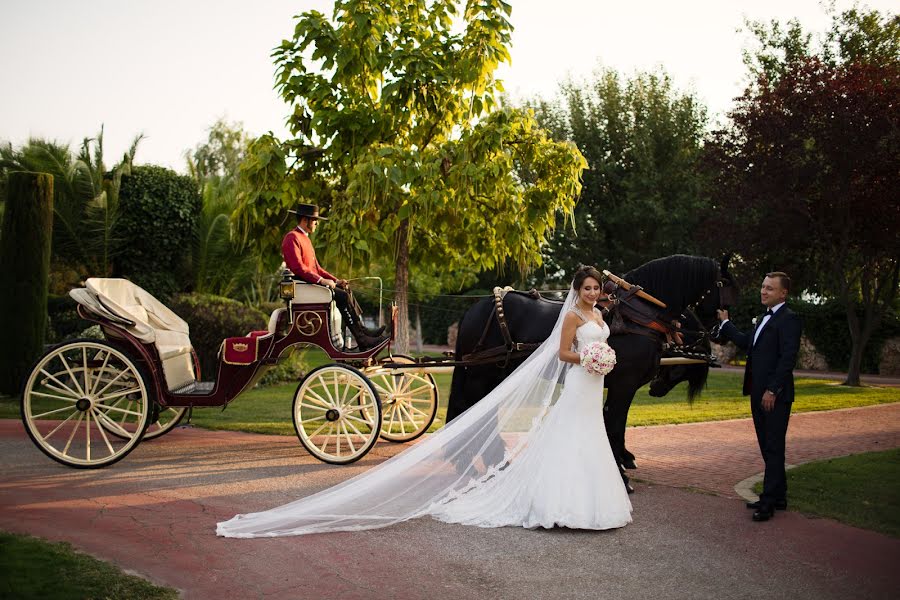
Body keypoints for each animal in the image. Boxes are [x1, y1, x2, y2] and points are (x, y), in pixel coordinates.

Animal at [446, 255, 736, 486]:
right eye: (726, 286)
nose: (718, 330)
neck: (638, 316)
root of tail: (476, 308)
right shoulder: (624, 384)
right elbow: (615, 425)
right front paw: (622, 475)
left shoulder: (624, 385)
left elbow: (616, 424)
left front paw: (622, 461)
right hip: (481, 374)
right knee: (468, 408)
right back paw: (470, 463)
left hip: (498, 373)